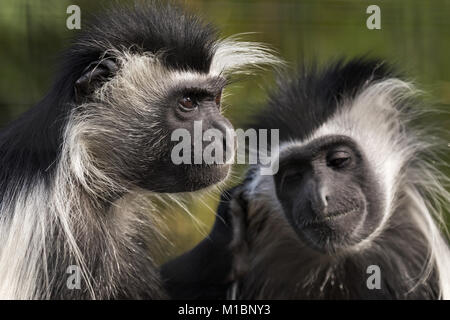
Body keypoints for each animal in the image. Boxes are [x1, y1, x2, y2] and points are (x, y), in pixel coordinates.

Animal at [0, 1, 280, 300]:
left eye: (214, 99)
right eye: (187, 101)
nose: (226, 134)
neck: (81, 172)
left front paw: (226, 241)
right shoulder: (49, 235)